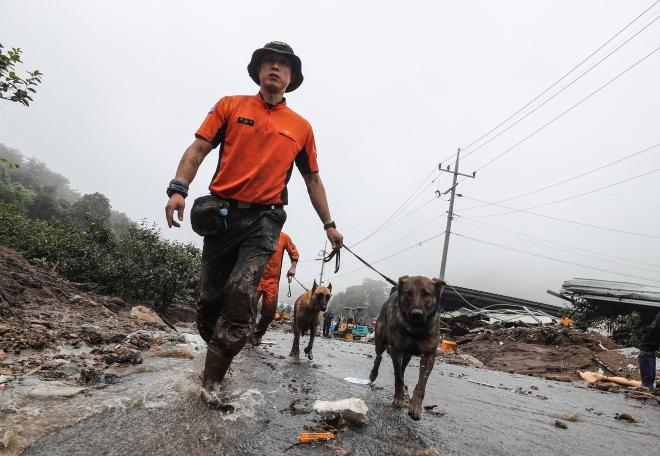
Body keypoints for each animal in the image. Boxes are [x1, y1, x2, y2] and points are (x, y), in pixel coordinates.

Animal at [368, 274, 446, 420]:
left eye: (426, 294)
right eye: (408, 293)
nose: (416, 314)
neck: (415, 328)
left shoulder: (428, 356)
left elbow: (420, 385)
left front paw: (415, 407)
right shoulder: (396, 350)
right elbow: (398, 376)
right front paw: (398, 397)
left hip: (407, 355)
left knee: (403, 367)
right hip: (380, 341)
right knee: (378, 357)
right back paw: (373, 374)